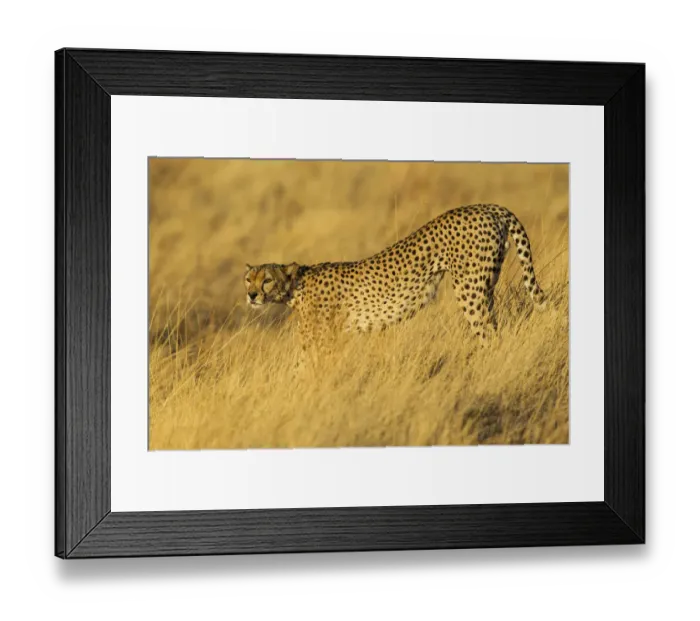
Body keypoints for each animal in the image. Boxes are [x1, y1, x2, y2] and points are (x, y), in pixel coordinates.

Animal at [244, 203, 546, 346]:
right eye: (248, 279)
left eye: (266, 280)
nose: (251, 295)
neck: (295, 288)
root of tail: (488, 207)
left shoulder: (320, 340)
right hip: (487, 284)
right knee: (494, 325)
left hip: (469, 291)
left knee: (487, 333)